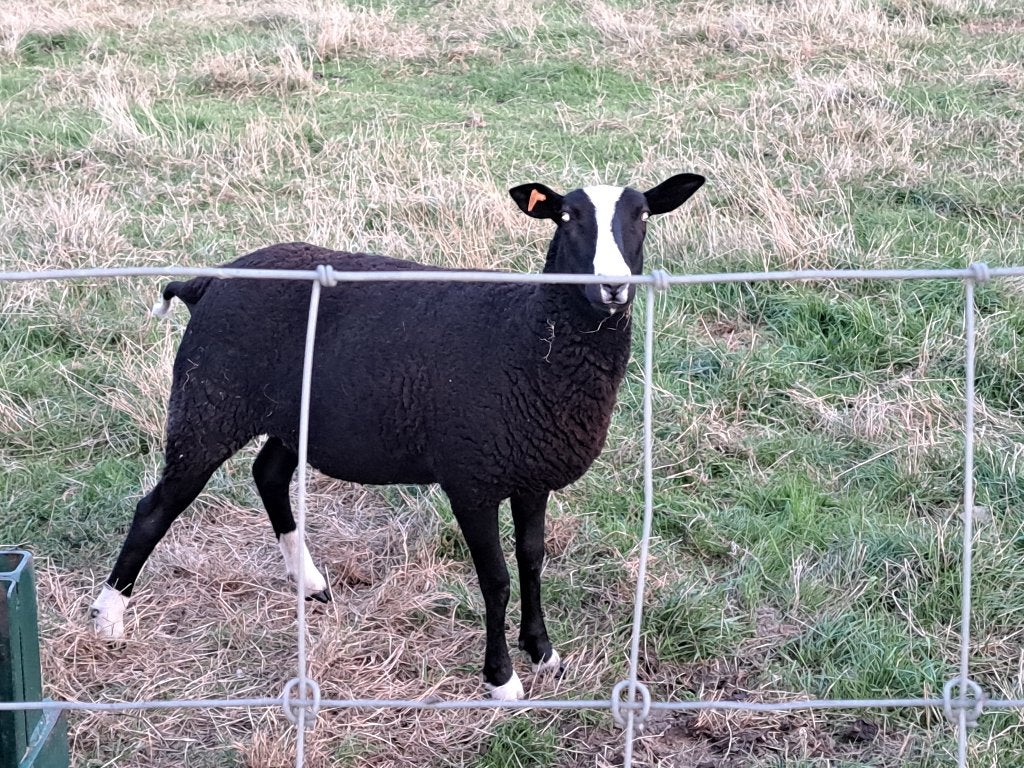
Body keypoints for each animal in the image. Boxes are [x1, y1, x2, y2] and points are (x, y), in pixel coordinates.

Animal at [89, 173, 705, 700]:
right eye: (567, 217)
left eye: (643, 215)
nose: (612, 287)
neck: (534, 336)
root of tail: (208, 280)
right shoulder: (472, 477)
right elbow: (497, 579)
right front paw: (502, 680)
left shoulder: (533, 469)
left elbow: (532, 560)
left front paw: (543, 652)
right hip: (209, 403)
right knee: (156, 507)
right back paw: (108, 616)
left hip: (290, 414)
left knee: (268, 475)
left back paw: (309, 582)